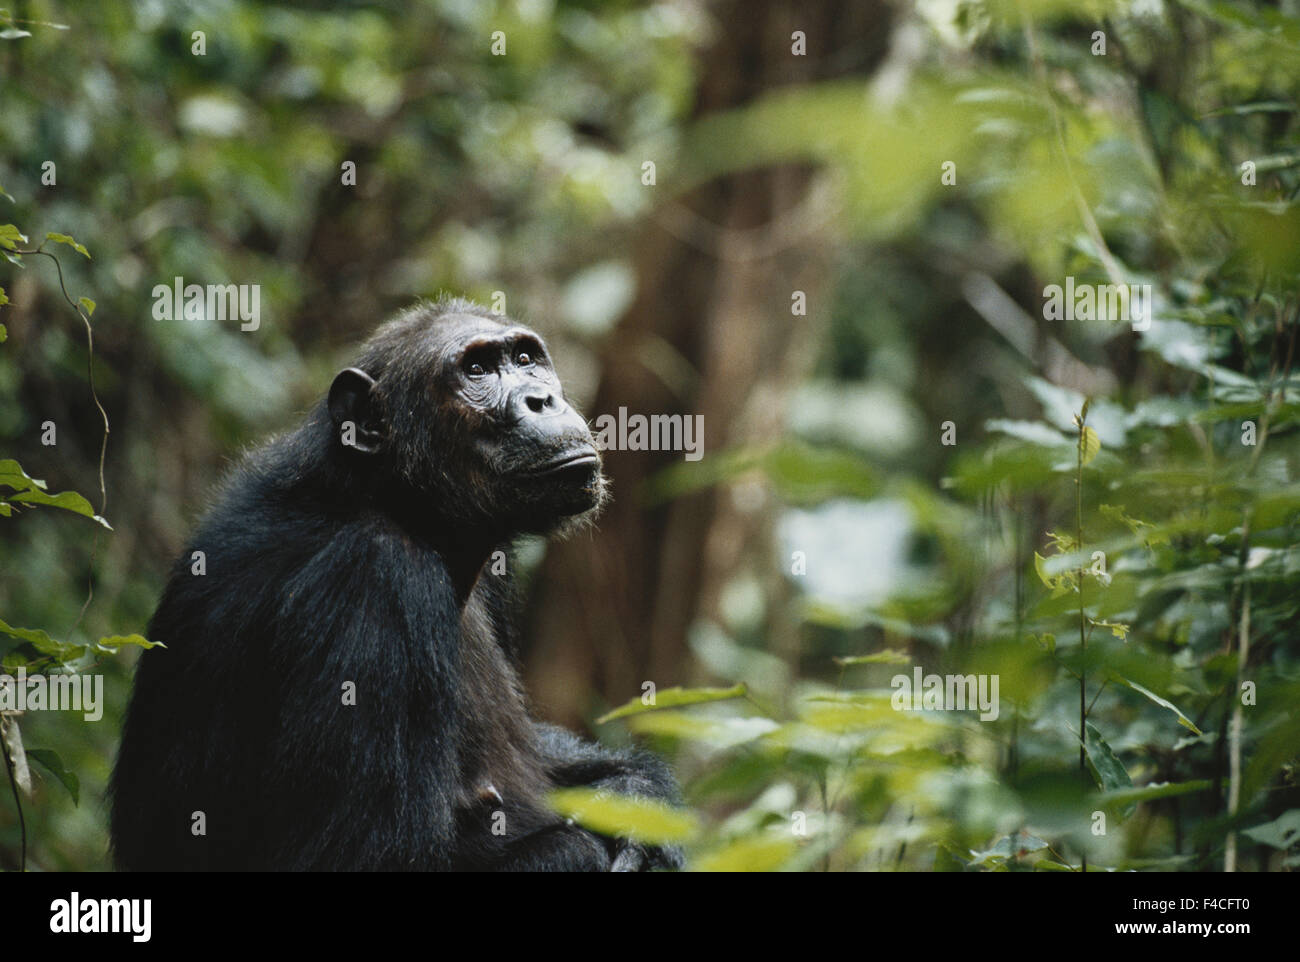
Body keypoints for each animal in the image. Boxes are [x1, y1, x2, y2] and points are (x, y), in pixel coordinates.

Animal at [109, 295, 691, 873]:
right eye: (476, 370)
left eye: (526, 359)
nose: (541, 398)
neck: (403, 504)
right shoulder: (375, 582)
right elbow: (358, 856)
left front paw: (636, 795)